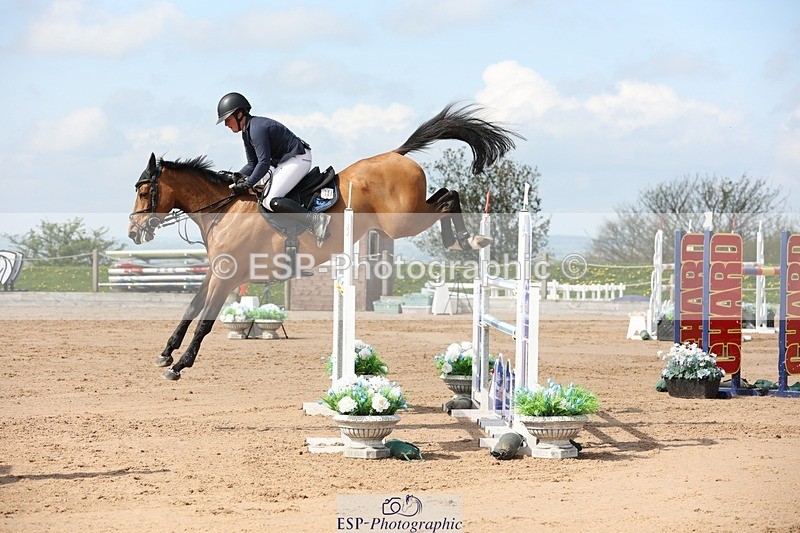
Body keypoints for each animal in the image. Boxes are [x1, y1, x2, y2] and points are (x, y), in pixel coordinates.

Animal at [128, 103, 520, 380]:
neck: (225, 210)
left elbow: (205, 321)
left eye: (145, 191)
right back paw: (465, 240)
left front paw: (179, 365)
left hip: (402, 222)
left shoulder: (229, 276)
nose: (133, 232)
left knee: (449, 196)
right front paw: (166, 353)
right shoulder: (215, 272)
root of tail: (398, 152)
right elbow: (190, 309)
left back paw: (466, 240)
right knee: (445, 195)